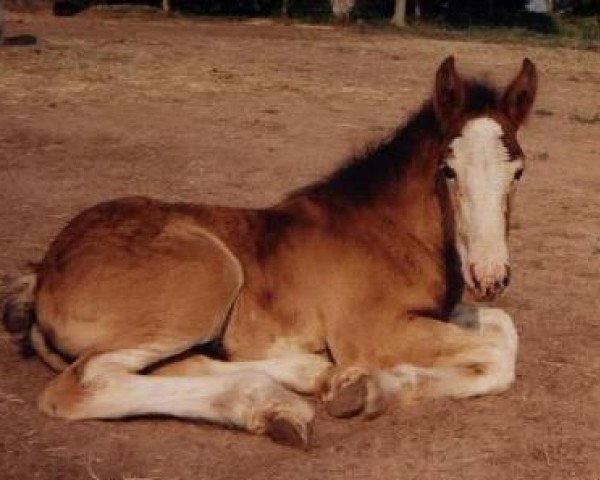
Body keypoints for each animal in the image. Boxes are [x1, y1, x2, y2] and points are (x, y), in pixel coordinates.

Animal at [3, 56, 540, 446]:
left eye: (518, 171)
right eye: (448, 170)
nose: (488, 276)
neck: (389, 228)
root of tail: (44, 270)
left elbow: (503, 328)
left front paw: (356, 385)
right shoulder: (374, 333)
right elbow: (497, 357)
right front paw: (368, 391)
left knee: (175, 365)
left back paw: (309, 377)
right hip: (210, 277)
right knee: (88, 382)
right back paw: (279, 406)